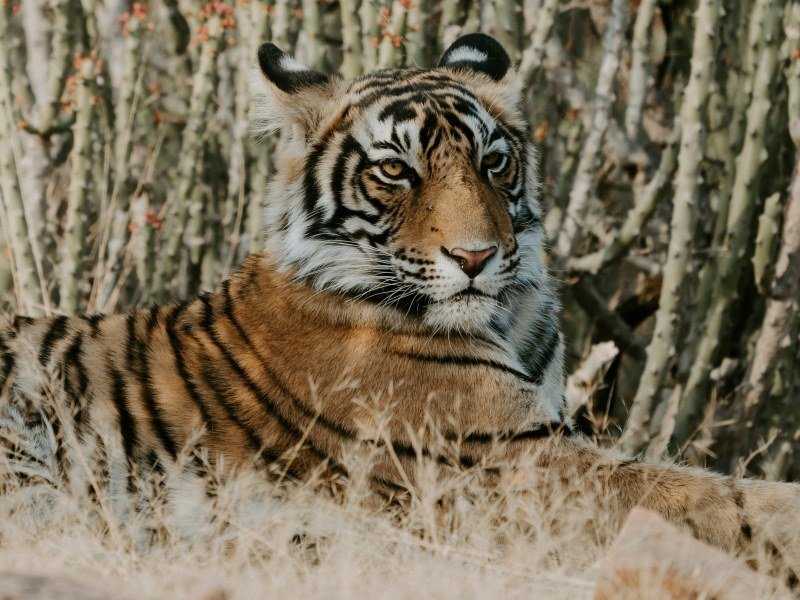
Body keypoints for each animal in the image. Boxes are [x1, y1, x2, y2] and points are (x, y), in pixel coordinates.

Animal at [1, 33, 798, 566]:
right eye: (395, 171)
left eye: (493, 162)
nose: (475, 257)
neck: (509, 317)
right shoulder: (519, 466)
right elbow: (717, 500)